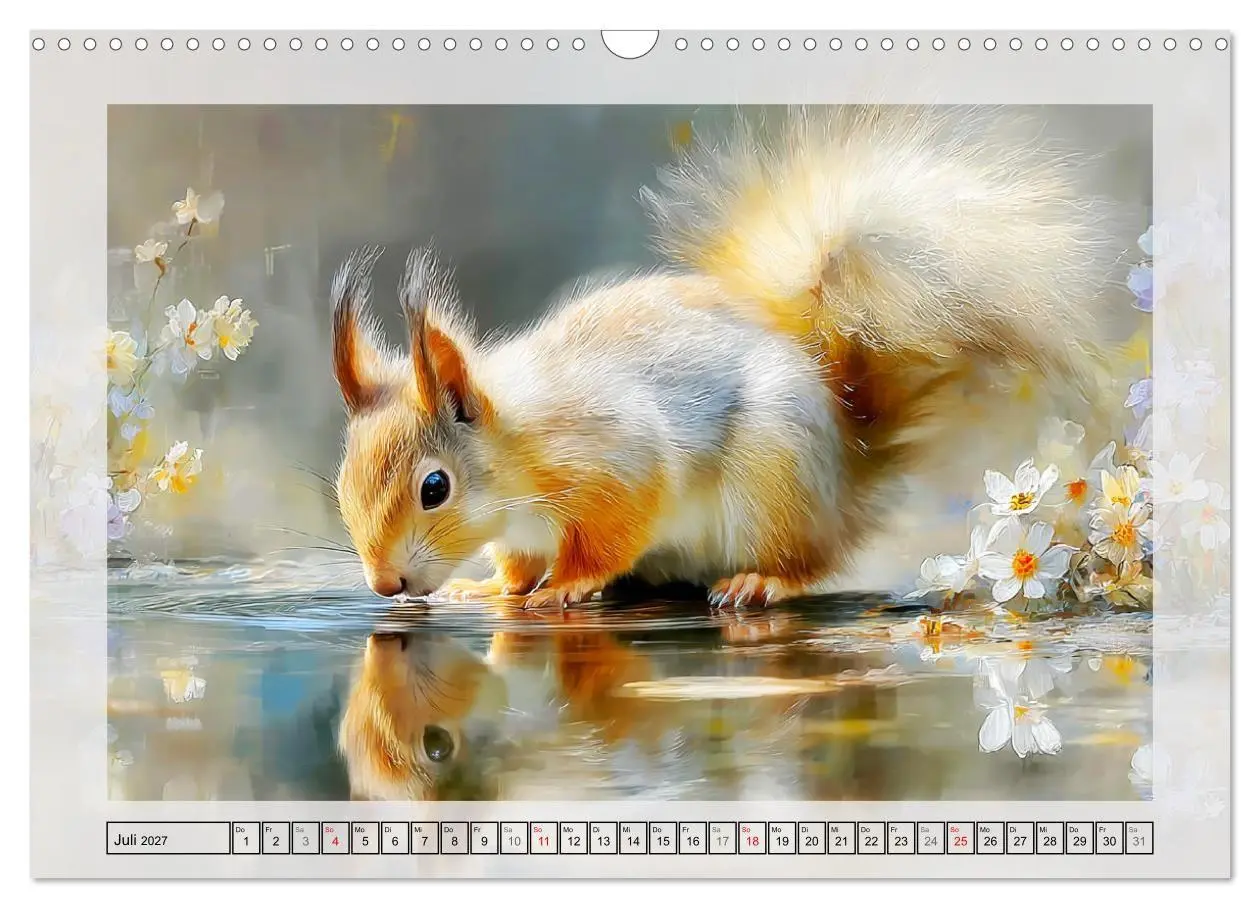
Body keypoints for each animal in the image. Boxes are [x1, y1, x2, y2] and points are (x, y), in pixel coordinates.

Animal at [330, 105, 1130, 609]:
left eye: (435, 488)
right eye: (342, 481)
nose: (383, 586)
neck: (518, 442)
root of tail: (844, 477)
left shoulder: (613, 461)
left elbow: (613, 529)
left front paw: (566, 584)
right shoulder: (525, 528)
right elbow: (518, 563)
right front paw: (492, 588)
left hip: (772, 484)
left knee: (807, 564)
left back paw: (760, 583)